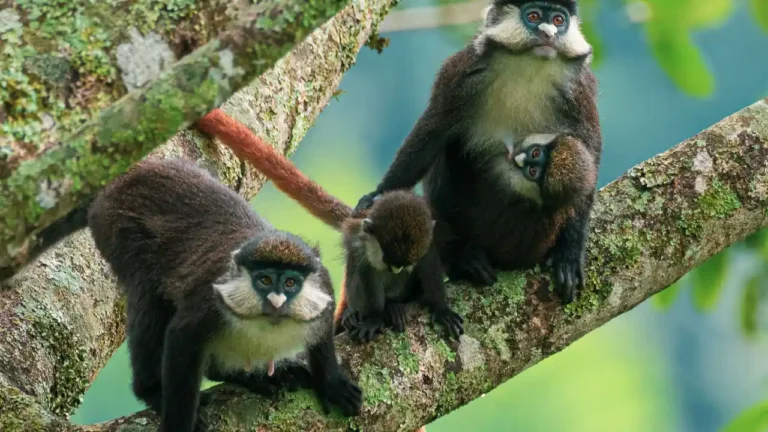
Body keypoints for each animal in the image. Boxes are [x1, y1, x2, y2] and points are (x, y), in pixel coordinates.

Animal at [23, 159, 363, 432]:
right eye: (265, 280)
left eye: (291, 283)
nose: (276, 301)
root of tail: (121, 179)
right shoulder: (209, 305)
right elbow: (180, 338)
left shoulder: (323, 288)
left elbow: (323, 338)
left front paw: (330, 382)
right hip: (116, 227)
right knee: (147, 297)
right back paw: (151, 389)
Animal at [194, 108, 464, 343]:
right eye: (389, 261)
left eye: (403, 264)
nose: (396, 269)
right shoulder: (362, 244)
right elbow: (365, 272)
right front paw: (374, 317)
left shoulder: (425, 242)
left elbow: (429, 265)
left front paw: (440, 308)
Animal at [353, 0, 602, 304]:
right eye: (533, 16)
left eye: (558, 19)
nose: (549, 33)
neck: (529, 68)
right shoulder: (461, 74)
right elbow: (431, 136)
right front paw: (377, 194)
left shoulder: (579, 91)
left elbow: (589, 155)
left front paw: (569, 253)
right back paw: (464, 259)